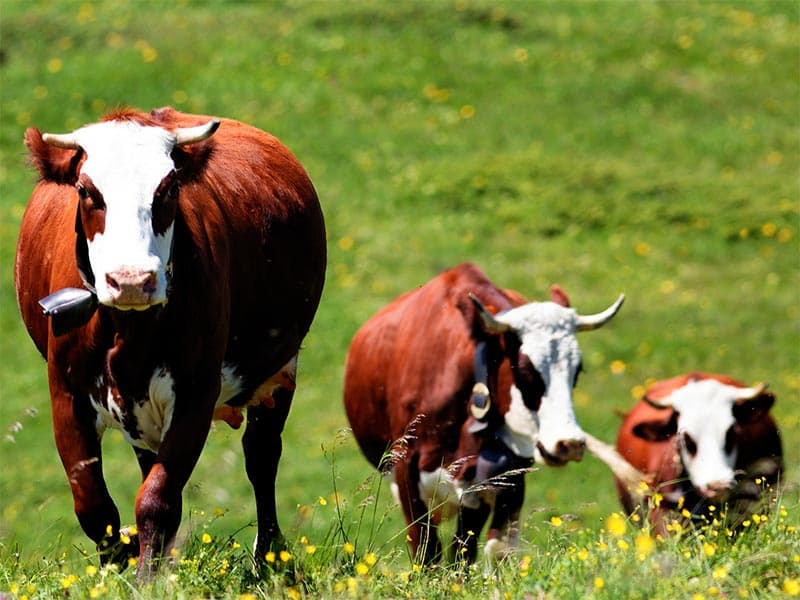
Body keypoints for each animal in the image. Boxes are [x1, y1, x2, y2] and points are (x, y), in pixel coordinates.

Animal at [14, 107, 326, 578]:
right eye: (87, 192)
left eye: (169, 188)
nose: (131, 280)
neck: (129, 330)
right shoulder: (66, 394)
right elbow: (94, 506)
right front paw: (120, 564)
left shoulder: (197, 390)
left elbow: (158, 498)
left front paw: (146, 578)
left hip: (278, 371)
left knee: (261, 456)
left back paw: (269, 555)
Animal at [343, 263, 624, 565]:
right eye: (524, 370)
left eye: (577, 370)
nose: (569, 443)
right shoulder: (406, 469)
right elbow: (426, 550)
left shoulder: (492, 480)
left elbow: (470, 552)